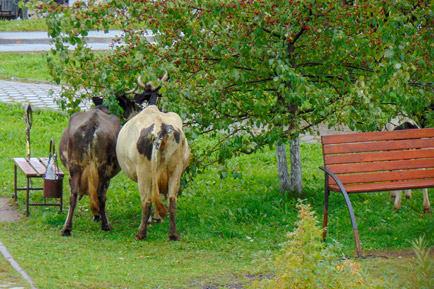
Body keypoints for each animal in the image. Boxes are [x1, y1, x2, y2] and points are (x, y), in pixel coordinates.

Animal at [59, 95, 140, 235]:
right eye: (131, 103)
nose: (139, 109)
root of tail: (92, 124)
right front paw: (98, 216)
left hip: (75, 165)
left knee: (74, 193)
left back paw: (67, 228)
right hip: (103, 167)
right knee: (100, 194)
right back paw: (106, 225)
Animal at [115, 75, 190, 240]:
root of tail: (159, 129)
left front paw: (152, 220)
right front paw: (158, 218)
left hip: (144, 171)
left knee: (147, 200)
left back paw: (141, 233)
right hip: (175, 169)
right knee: (172, 199)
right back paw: (173, 234)